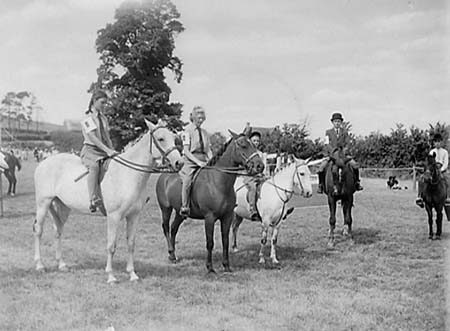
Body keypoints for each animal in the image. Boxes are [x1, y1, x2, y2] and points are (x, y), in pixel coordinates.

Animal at [33, 119, 185, 282]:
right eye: (161, 138)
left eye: (174, 138)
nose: (179, 162)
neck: (127, 174)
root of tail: (43, 163)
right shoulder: (114, 217)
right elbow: (111, 246)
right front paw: (111, 276)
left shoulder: (133, 216)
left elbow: (131, 244)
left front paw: (132, 274)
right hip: (43, 204)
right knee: (38, 231)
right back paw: (39, 265)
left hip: (62, 207)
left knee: (58, 231)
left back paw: (61, 264)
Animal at [156, 131, 266, 274]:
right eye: (242, 145)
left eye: (254, 144)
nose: (260, 166)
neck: (218, 182)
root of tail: (164, 175)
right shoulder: (209, 218)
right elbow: (210, 242)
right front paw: (210, 267)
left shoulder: (227, 217)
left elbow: (225, 241)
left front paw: (226, 266)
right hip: (166, 209)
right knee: (166, 228)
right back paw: (170, 253)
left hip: (180, 213)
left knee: (174, 229)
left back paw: (173, 256)